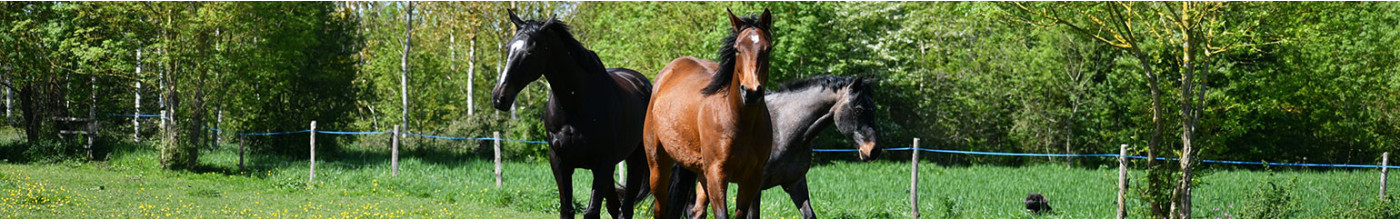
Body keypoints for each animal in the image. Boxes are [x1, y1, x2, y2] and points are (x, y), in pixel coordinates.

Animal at [490, 10, 652, 218]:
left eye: (530, 52)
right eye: (508, 48)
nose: (499, 97)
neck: (575, 106)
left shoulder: (603, 163)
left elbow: (591, 212)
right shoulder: (560, 162)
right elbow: (567, 209)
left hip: (635, 159)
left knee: (626, 208)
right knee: (614, 207)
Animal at [644, 8, 778, 218]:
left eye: (768, 49)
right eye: (737, 49)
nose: (751, 92)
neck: (740, 121)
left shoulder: (751, 179)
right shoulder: (717, 175)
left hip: (701, 172)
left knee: (697, 211)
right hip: (658, 166)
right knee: (661, 208)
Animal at [674, 75, 879, 218]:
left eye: (874, 109)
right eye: (859, 109)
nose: (874, 150)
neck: (784, 127)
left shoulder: (795, 183)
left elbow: (809, 215)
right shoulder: (753, 187)